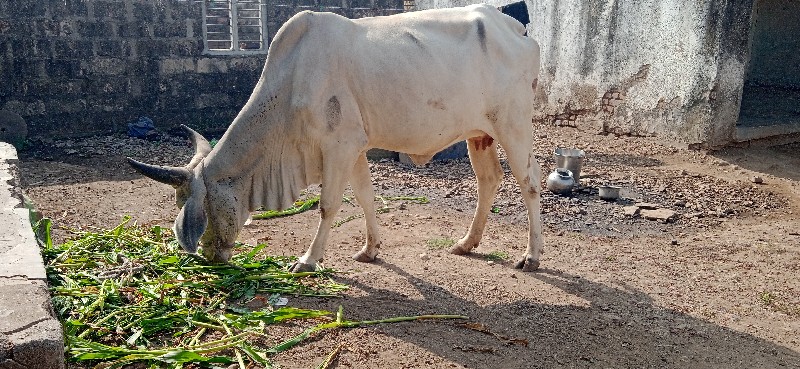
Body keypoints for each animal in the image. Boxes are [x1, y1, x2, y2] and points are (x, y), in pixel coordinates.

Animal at [130, 4, 544, 272]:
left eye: (202, 206)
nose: (213, 257)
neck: (290, 83)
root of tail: (515, 28)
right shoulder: (354, 148)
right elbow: (364, 197)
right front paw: (370, 249)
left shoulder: (338, 147)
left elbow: (328, 205)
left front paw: (308, 260)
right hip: (480, 134)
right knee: (489, 180)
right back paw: (466, 243)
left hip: (514, 127)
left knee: (530, 183)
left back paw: (532, 256)